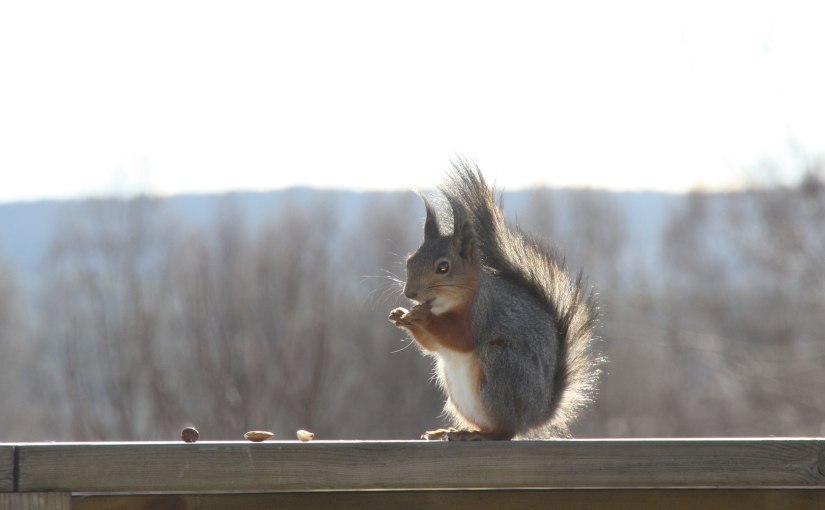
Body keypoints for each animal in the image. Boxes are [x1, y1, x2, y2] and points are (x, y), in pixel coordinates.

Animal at [389, 161, 601, 440]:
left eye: (443, 267)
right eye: (410, 260)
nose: (409, 293)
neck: (445, 305)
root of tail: (536, 416)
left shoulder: (483, 311)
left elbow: (461, 336)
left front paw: (422, 317)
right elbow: (431, 345)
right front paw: (402, 315)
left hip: (501, 367)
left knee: (505, 431)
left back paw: (478, 434)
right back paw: (455, 430)